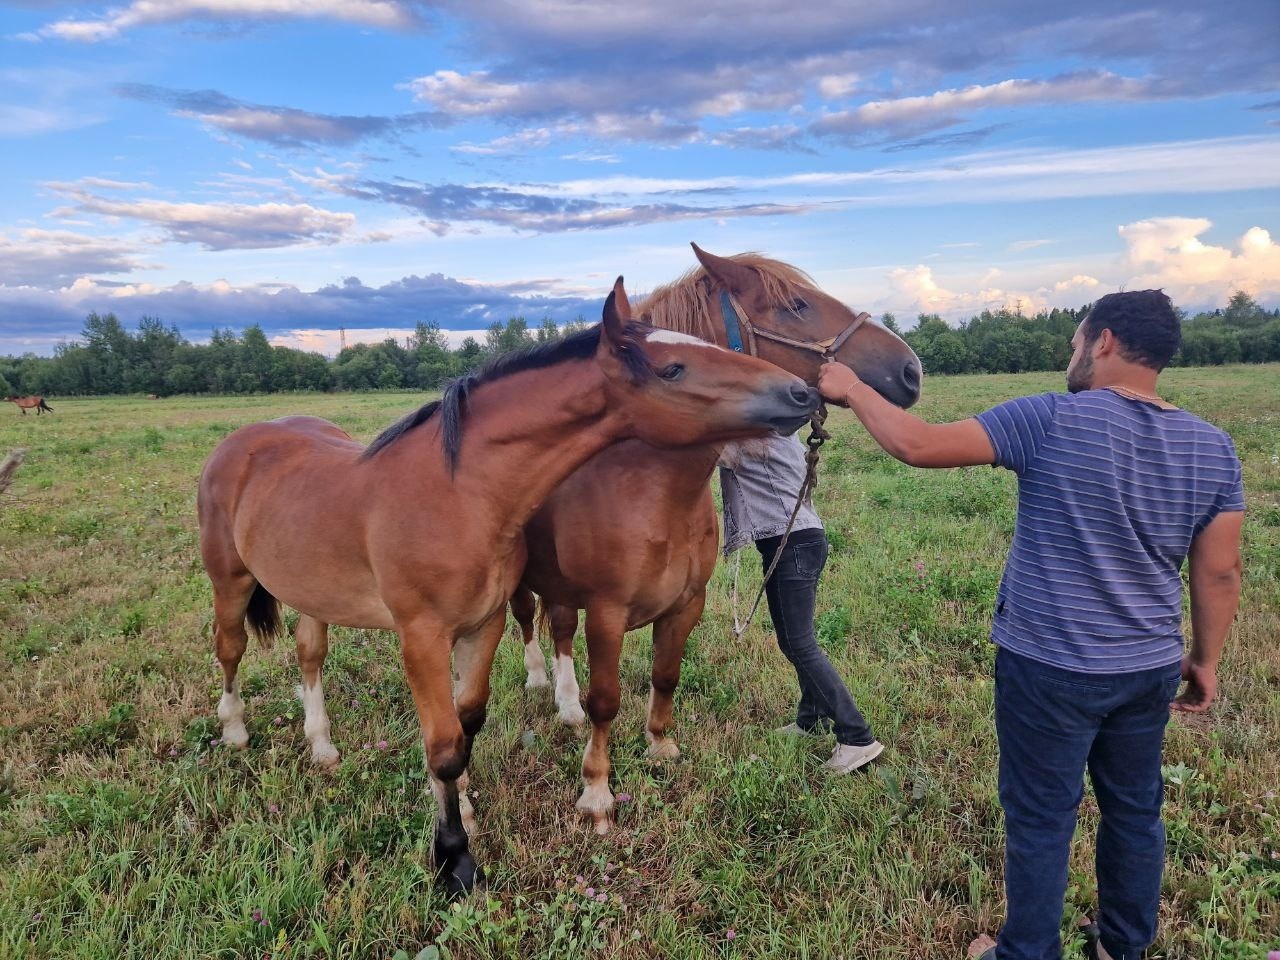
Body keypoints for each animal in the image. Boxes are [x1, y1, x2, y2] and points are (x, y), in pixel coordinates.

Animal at [199, 281, 819, 901]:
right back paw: (234, 731)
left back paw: (323, 747)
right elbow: (444, 745)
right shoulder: (422, 638)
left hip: (314, 596)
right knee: (229, 650)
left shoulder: (484, 624)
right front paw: (455, 860)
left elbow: (466, 723)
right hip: (229, 583)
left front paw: (465, 812)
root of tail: (243, 441)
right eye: (672, 368)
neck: (460, 493)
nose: (802, 392)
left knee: (310, 656)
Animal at [506, 245, 921, 834]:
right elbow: (606, 699)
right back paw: (546, 688)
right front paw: (596, 792)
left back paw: (565, 707)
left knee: (560, 627)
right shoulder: (606, 613)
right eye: (796, 305)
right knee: (530, 621)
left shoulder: (686, 604)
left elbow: (665, 675)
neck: (642, 485)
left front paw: (660, 748)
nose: (911, 370)